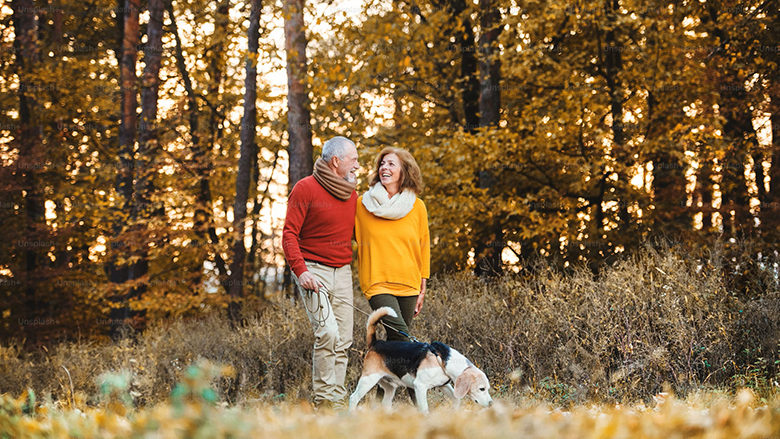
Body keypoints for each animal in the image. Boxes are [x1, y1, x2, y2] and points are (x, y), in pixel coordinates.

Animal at [348, 308, 494, 414]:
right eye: (481, 389)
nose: (491, 404)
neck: (443, 360)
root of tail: (375, 343)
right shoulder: (420, 386)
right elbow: (424, 409)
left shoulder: (444, 385)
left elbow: (456, 400)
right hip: (368, 380)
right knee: (353, 398)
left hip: (389, 388)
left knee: (384, 404)